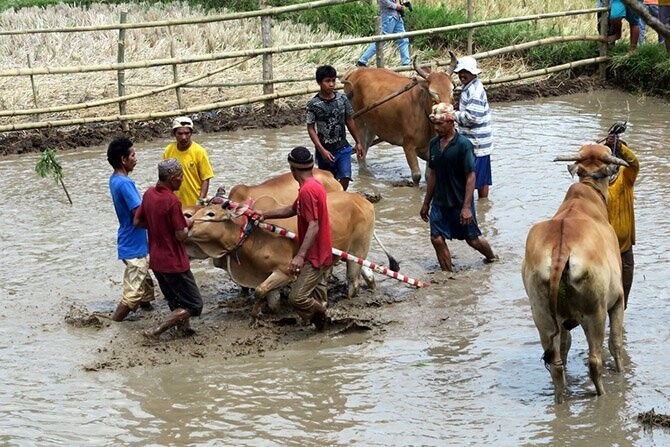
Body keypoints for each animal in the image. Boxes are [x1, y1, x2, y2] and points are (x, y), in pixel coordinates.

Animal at [189, 192, 378, 316]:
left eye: (211, 213)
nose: (189, 226)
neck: (251, 233)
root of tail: (363, 201)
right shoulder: (267, 274)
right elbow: (270, 300)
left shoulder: (284, 272)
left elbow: (259, 290)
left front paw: (255, 315)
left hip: (357, 250)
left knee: (353, 282)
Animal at [344, 53, 460, 184]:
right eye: (432, 93)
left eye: (452, 92)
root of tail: (357, 71)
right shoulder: (408, 145)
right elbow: (416, 175)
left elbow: (428, 176)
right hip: (358, 124)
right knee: (361, 156)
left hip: (371, 128)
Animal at [524, 145, 632, 404]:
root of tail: (561, 249)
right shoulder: (617, 300)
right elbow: (616, 342)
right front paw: (621, 373)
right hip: (595, 313)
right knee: (595, 361)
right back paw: (602, 394)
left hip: (542, 315)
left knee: (556, 365)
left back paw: (560, 399)